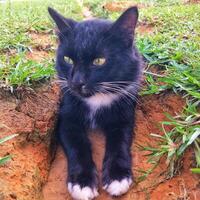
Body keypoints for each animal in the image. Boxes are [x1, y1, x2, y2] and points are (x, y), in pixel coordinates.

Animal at [48, 6, 142, 200]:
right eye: (67, 59)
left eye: (99, 61)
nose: (77, 82)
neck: (96, 97)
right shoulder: (66, 117)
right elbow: (77, 144)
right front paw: (82, 183)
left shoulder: (125, 113)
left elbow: (120, 141)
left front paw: (117, 177)